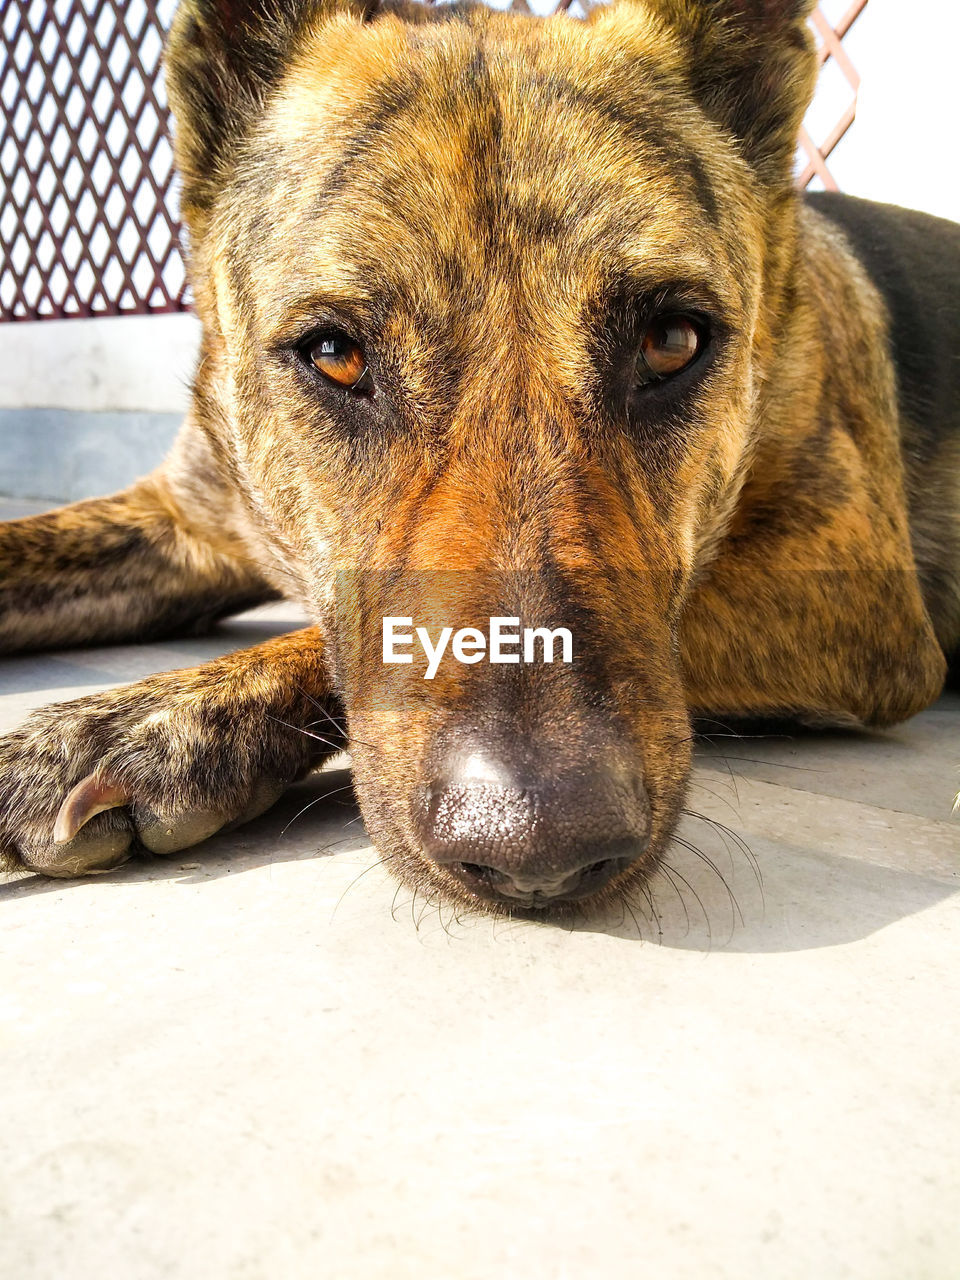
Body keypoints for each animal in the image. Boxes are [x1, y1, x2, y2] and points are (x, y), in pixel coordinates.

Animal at [1, 2, 960, 921]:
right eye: (333, 353)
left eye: (674, 341)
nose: (539, 844)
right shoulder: (182, 518)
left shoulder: (854, 595)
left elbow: (321, 644)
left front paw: (142, 725)